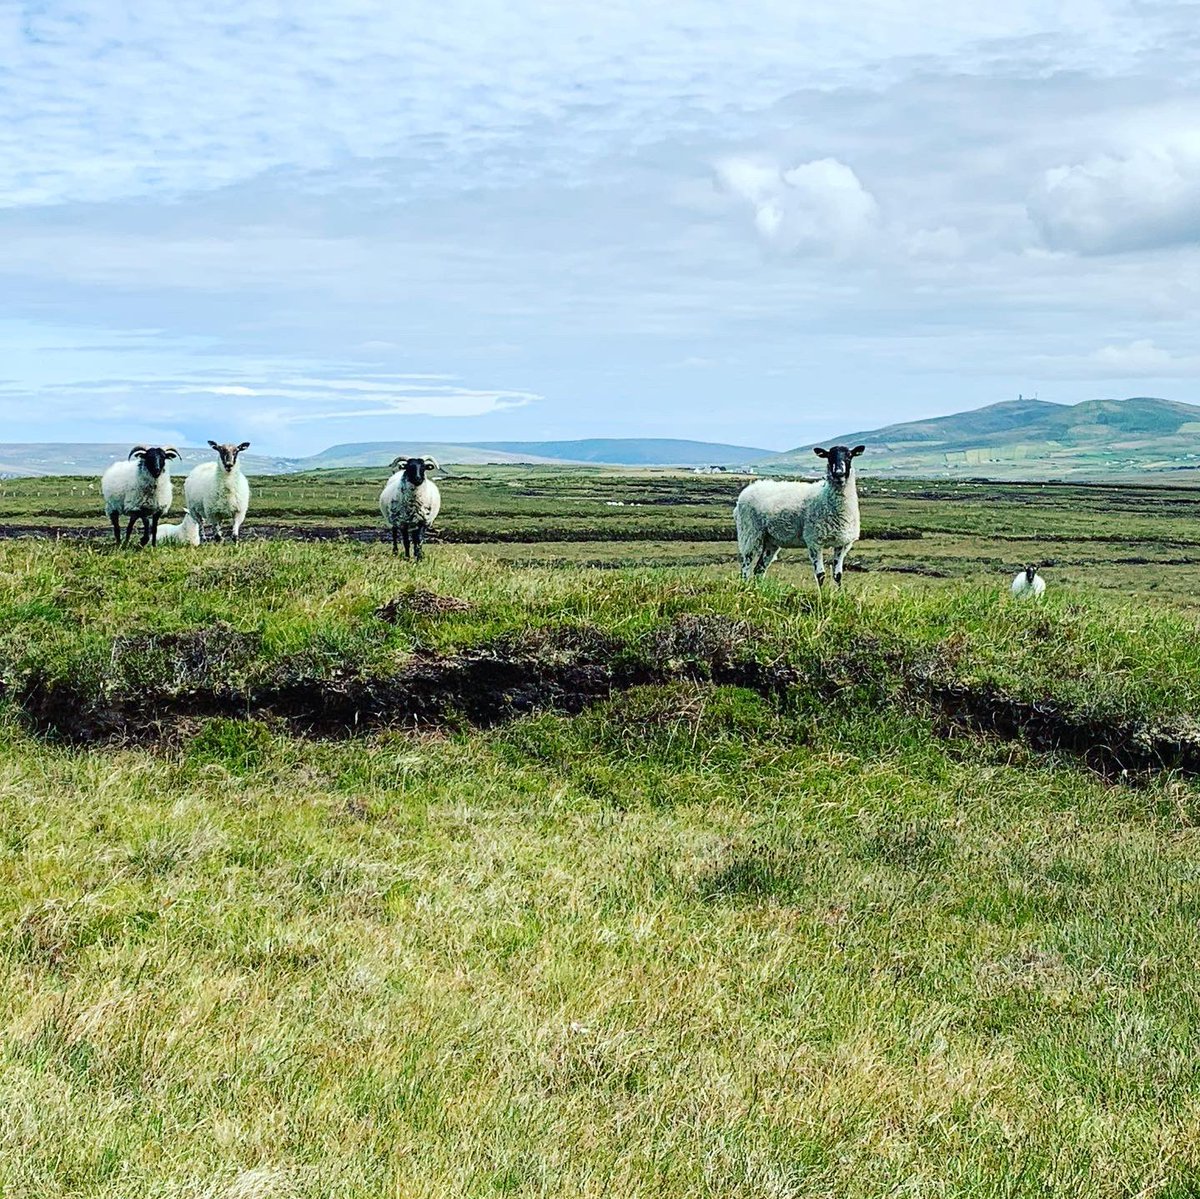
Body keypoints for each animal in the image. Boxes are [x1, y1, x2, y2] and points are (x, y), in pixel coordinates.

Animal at [734, 444, 865, 585]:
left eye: (849, 455)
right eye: (829, 456)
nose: (839, 473)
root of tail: (748, 489)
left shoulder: (842, 544)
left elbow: (838, 575)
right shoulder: (814, 540)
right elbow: (821, 575)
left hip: (771, 540)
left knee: (759, 569)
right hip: (750, 533)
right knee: (746, 568)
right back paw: (745, 586)